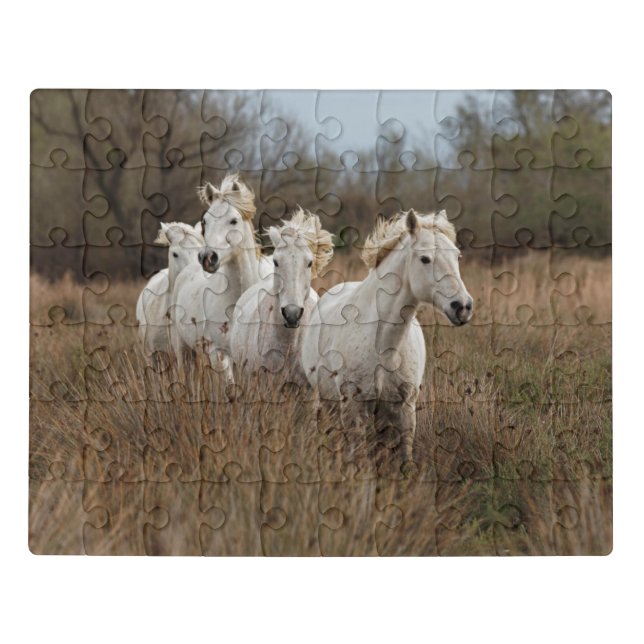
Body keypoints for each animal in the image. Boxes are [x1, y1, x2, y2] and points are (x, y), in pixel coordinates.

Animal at [300, 209, 473, 472]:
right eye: (425, 259)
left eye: (457, 256)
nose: (462, 307)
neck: (383, 346)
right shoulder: (353, 407)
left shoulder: (403, 409)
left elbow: (404, 457)